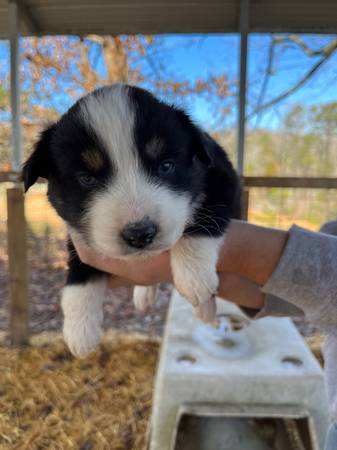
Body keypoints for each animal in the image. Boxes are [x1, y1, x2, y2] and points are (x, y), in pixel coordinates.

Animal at [23, 84, 239, 356]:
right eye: (86, 179)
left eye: (166, 166)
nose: (140, 234)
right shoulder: (79, 232)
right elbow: (79, 269)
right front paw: (80, 329)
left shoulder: (223, 180)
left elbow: (205, 220)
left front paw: (195, 279)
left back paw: (205, 307)